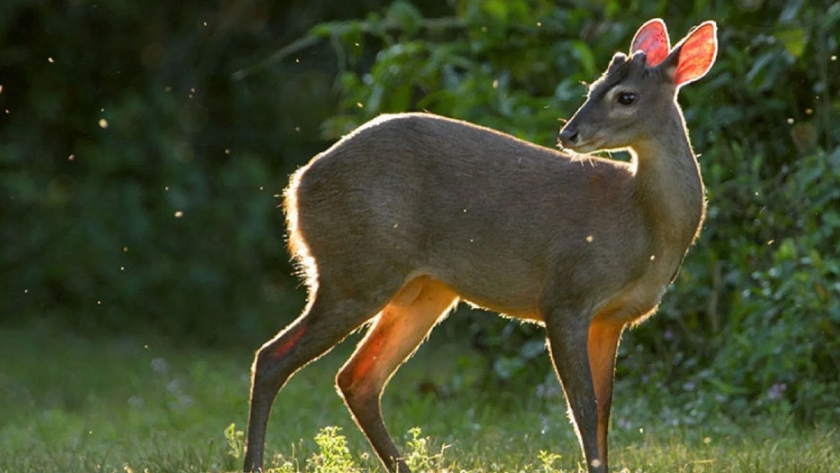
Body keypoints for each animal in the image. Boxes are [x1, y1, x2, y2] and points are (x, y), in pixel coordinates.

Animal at [241, 18, 716, 472]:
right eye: (593, 87)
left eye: (625, 96)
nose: (569, 133)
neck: (644, 228)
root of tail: (297, 187)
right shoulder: (566, 296)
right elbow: (583, 407)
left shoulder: (611, 319)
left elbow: (603, 412)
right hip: (356, 270)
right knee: (272, 357)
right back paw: (255, 463)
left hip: (423, 290)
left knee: (358, 378)